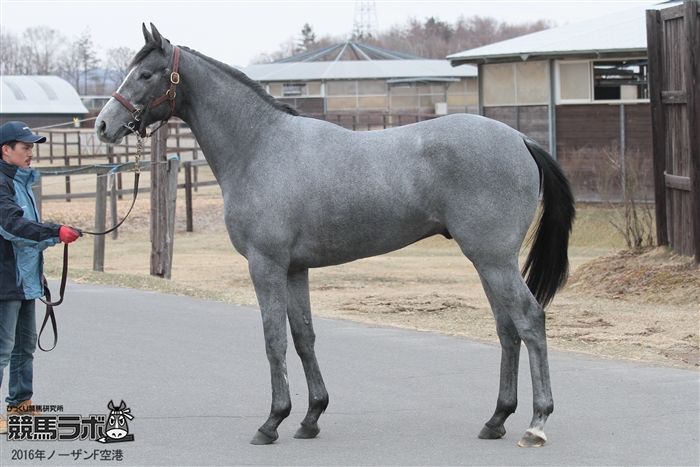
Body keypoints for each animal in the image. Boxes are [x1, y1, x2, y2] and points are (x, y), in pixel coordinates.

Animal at [94, 25, 576, 450]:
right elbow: (303, 337)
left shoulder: (266, 265)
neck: (261, 147)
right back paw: (496, 419)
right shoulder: (295, 269)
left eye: (146, 74)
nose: (102, 126)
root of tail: (521, 139)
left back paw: (536, 424)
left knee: (529, 321)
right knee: (507, 329)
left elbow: (273, 339)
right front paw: (310, 417)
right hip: (487, 262)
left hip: (494, 260)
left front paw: (272, 421)